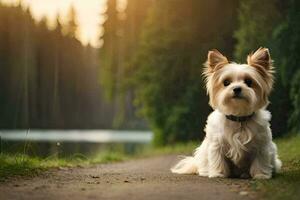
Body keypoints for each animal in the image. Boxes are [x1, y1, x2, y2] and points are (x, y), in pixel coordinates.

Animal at [171, 47, 282, 179]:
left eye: (249, 82)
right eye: (226, 82)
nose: (237, 88)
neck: (238, 117)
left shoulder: (262, 145)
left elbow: (260, 161)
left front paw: (261, 175)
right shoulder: (217, 145)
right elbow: (218, 159)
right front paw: (218, 174)